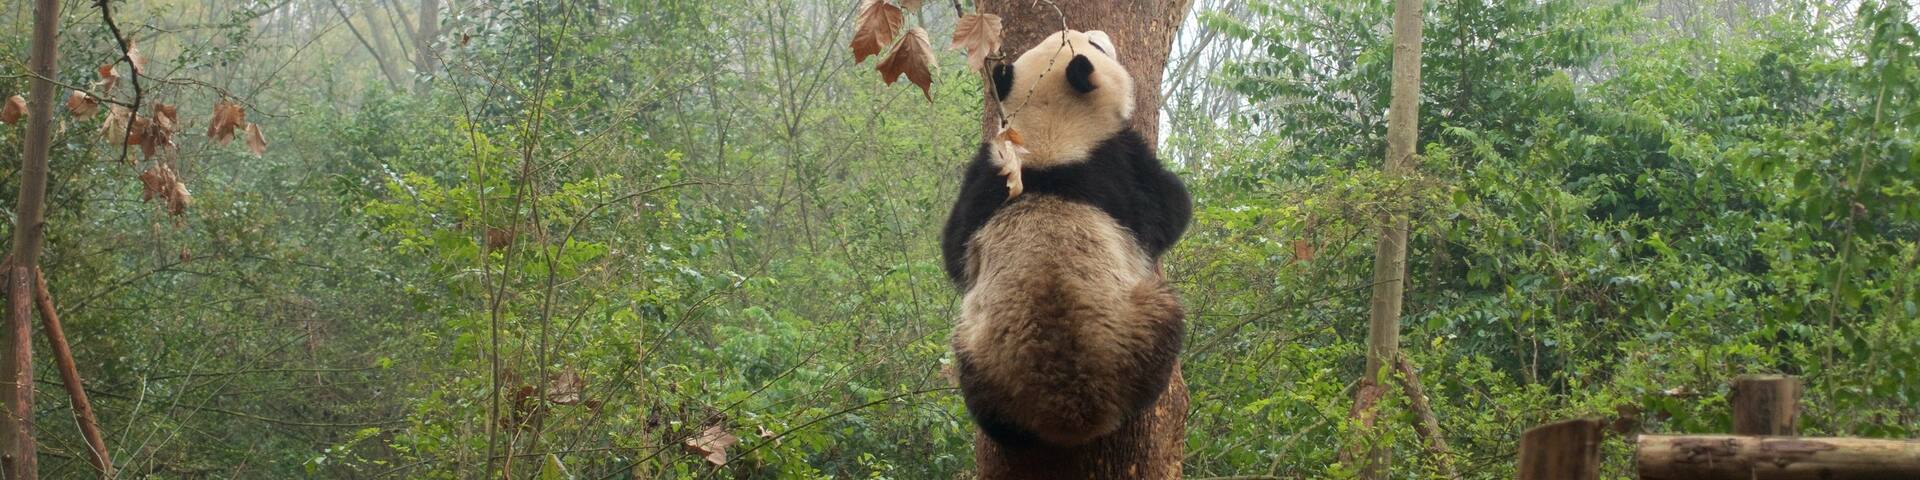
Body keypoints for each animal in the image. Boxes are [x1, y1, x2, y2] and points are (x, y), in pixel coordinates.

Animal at [940, 29, 1192, 448]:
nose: (1098, 34)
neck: (1047, 136)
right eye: (1097, 46)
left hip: (979, 359)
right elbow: (1171, 209)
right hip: (1137, 329)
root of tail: (1070, 410)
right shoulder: (1115, 168)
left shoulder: (987, 180)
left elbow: (954, 247)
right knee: (1166, 316)